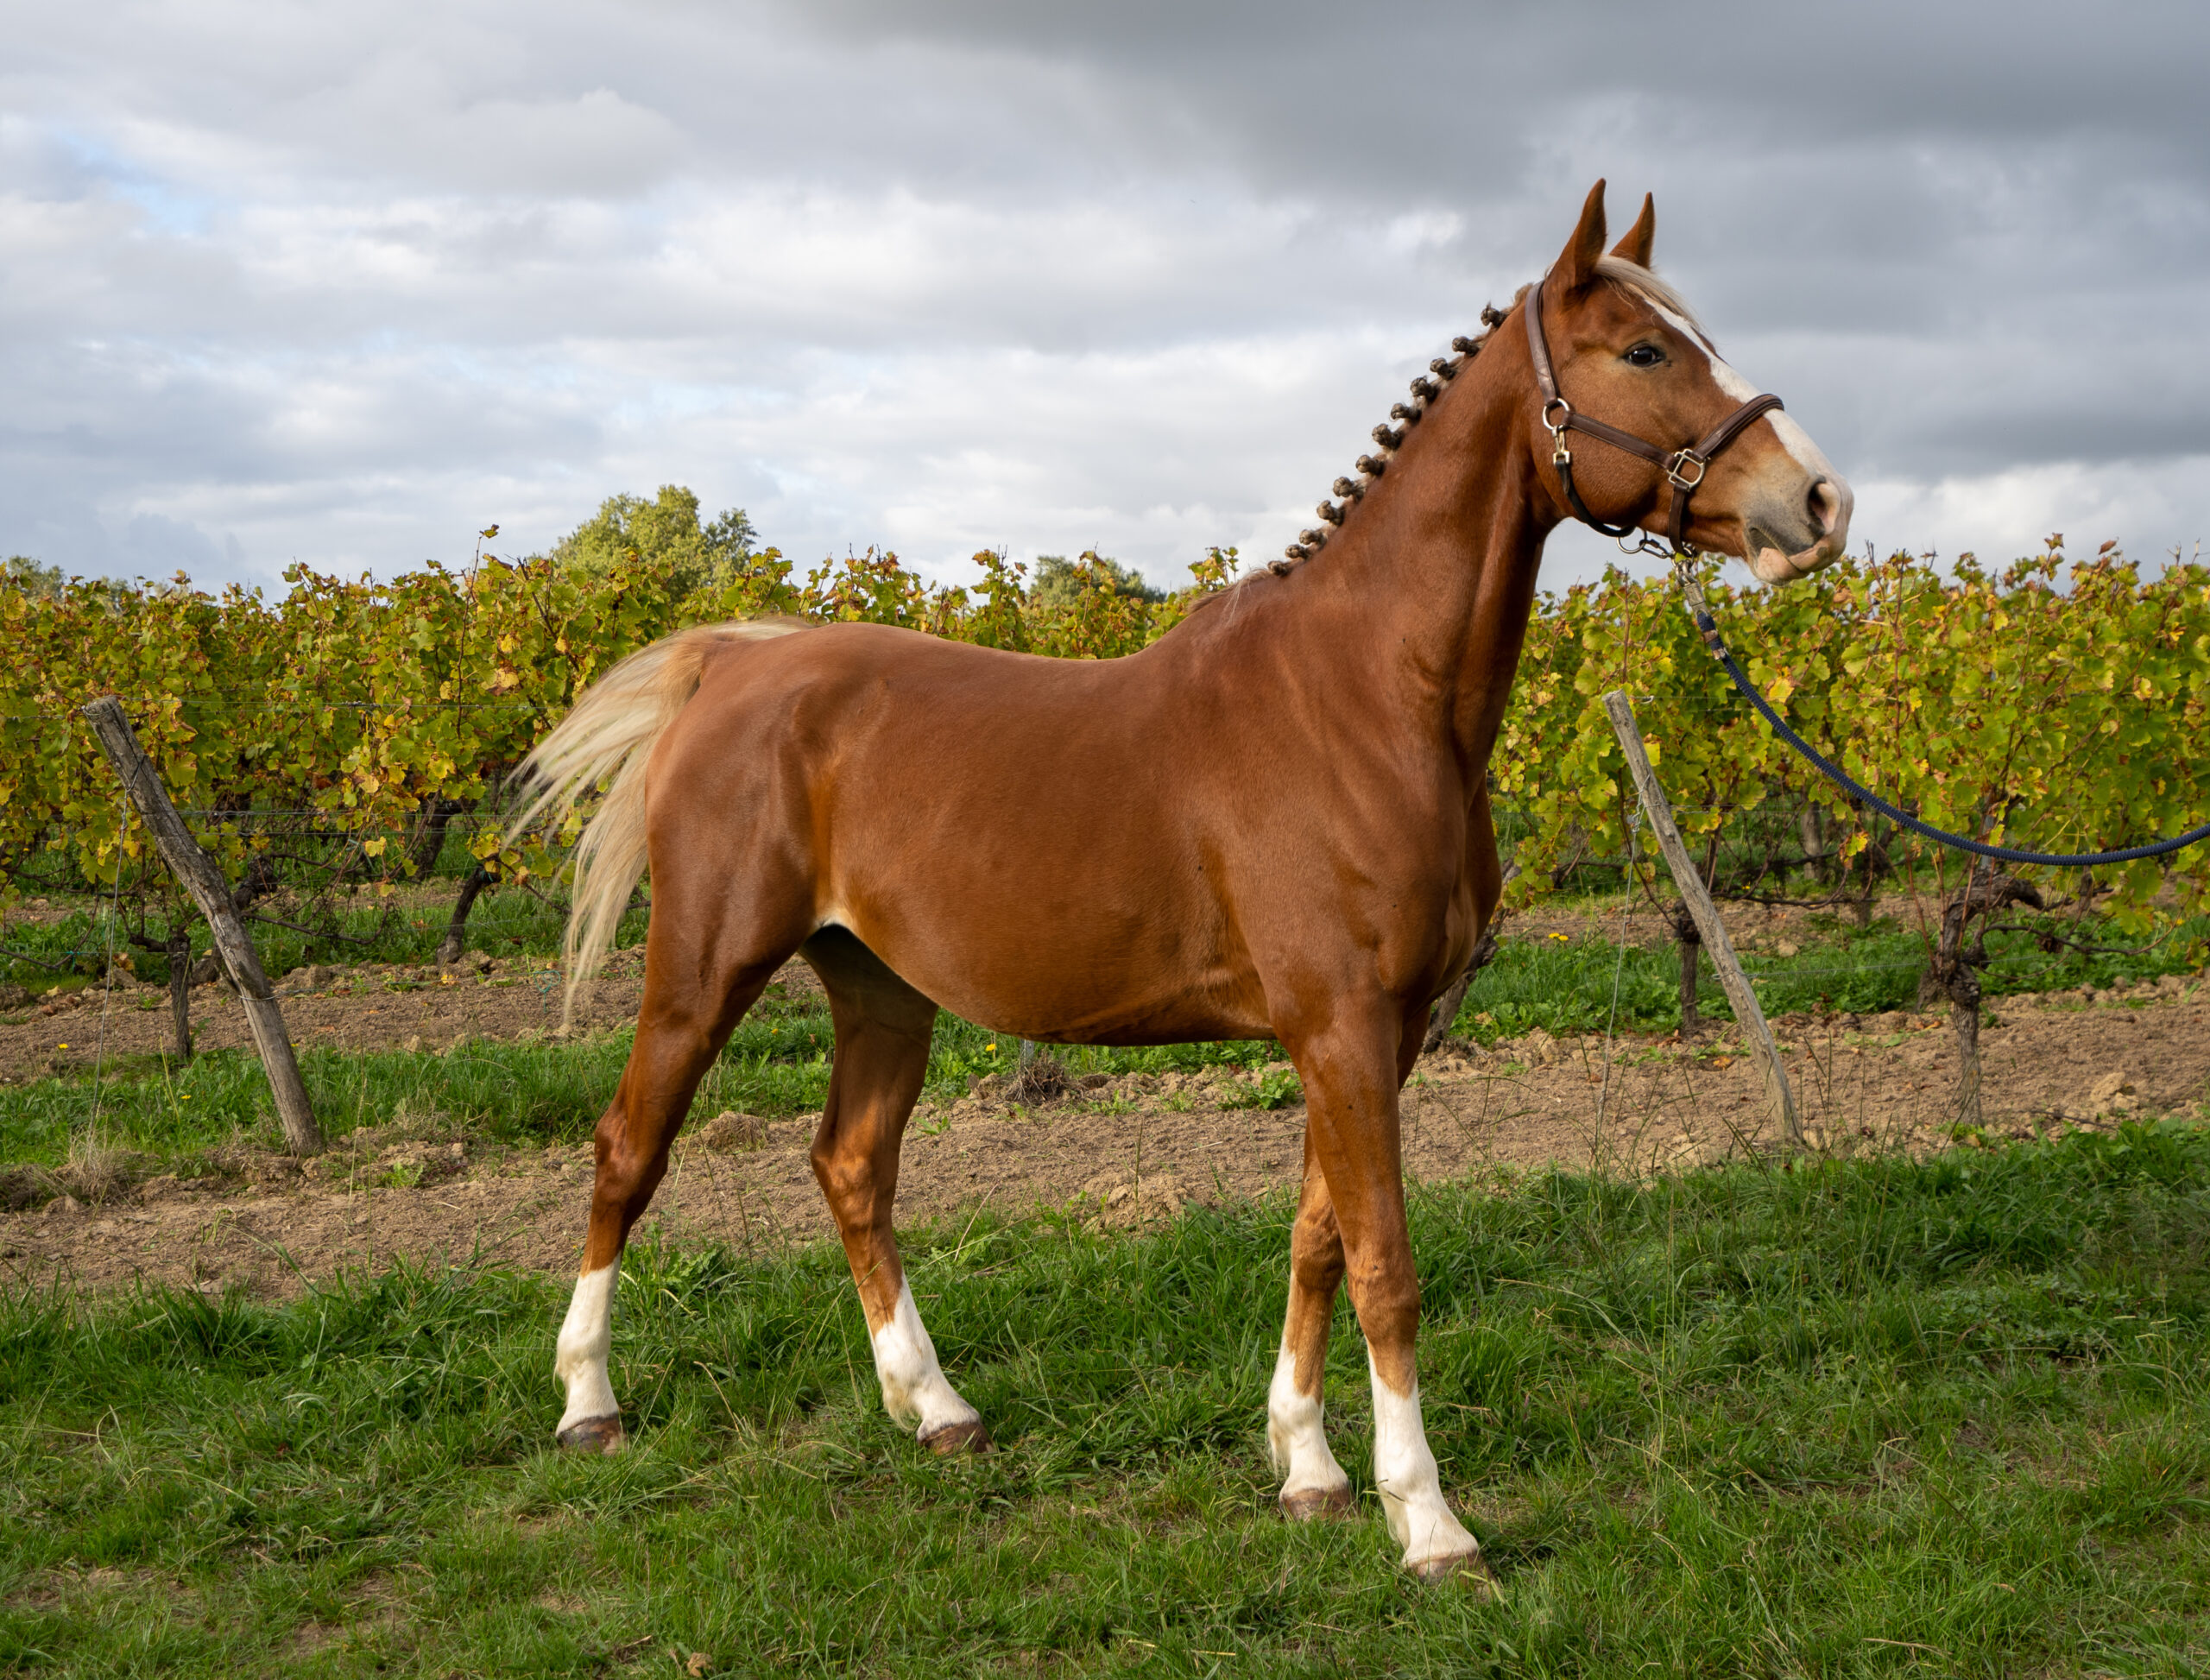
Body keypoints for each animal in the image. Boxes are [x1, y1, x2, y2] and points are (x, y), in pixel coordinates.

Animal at [516, 181, 1852, 1581]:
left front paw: (1310, 1469)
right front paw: (1427, 1520)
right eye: (1643, 352)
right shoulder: (1341, 1027)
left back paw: (934, 1406)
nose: (1817, 502)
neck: (1365, 696)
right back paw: (589, 1404)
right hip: (703, 970)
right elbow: (1385, 1265)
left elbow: (1318, 1240)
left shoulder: (1377, 1035)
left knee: (851, 1166)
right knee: (629, 1149)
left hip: (880, 988)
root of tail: (734, 663)